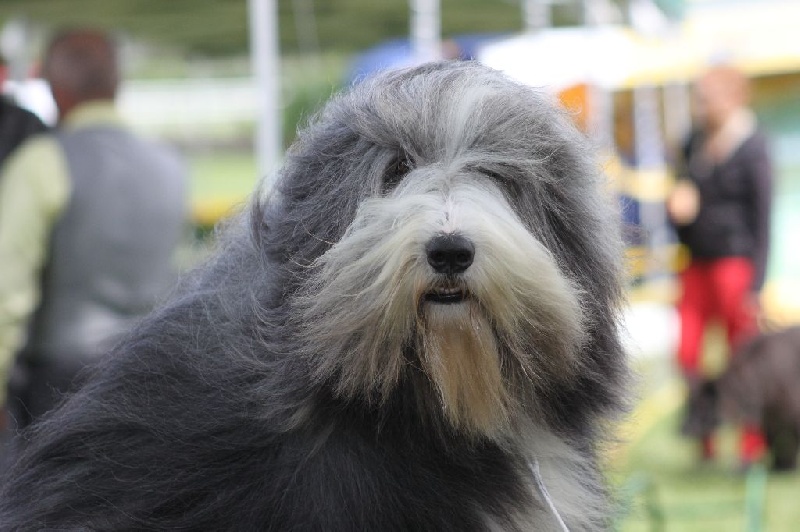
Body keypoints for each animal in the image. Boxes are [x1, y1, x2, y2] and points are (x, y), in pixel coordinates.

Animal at [680, 324, 800, 470]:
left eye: (703, 407)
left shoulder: (791, 414)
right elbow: (772, 441)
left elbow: (791, 441)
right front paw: (780, 465)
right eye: (689, 407)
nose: (683, 429)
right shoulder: (768, 419)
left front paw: (786, 466)